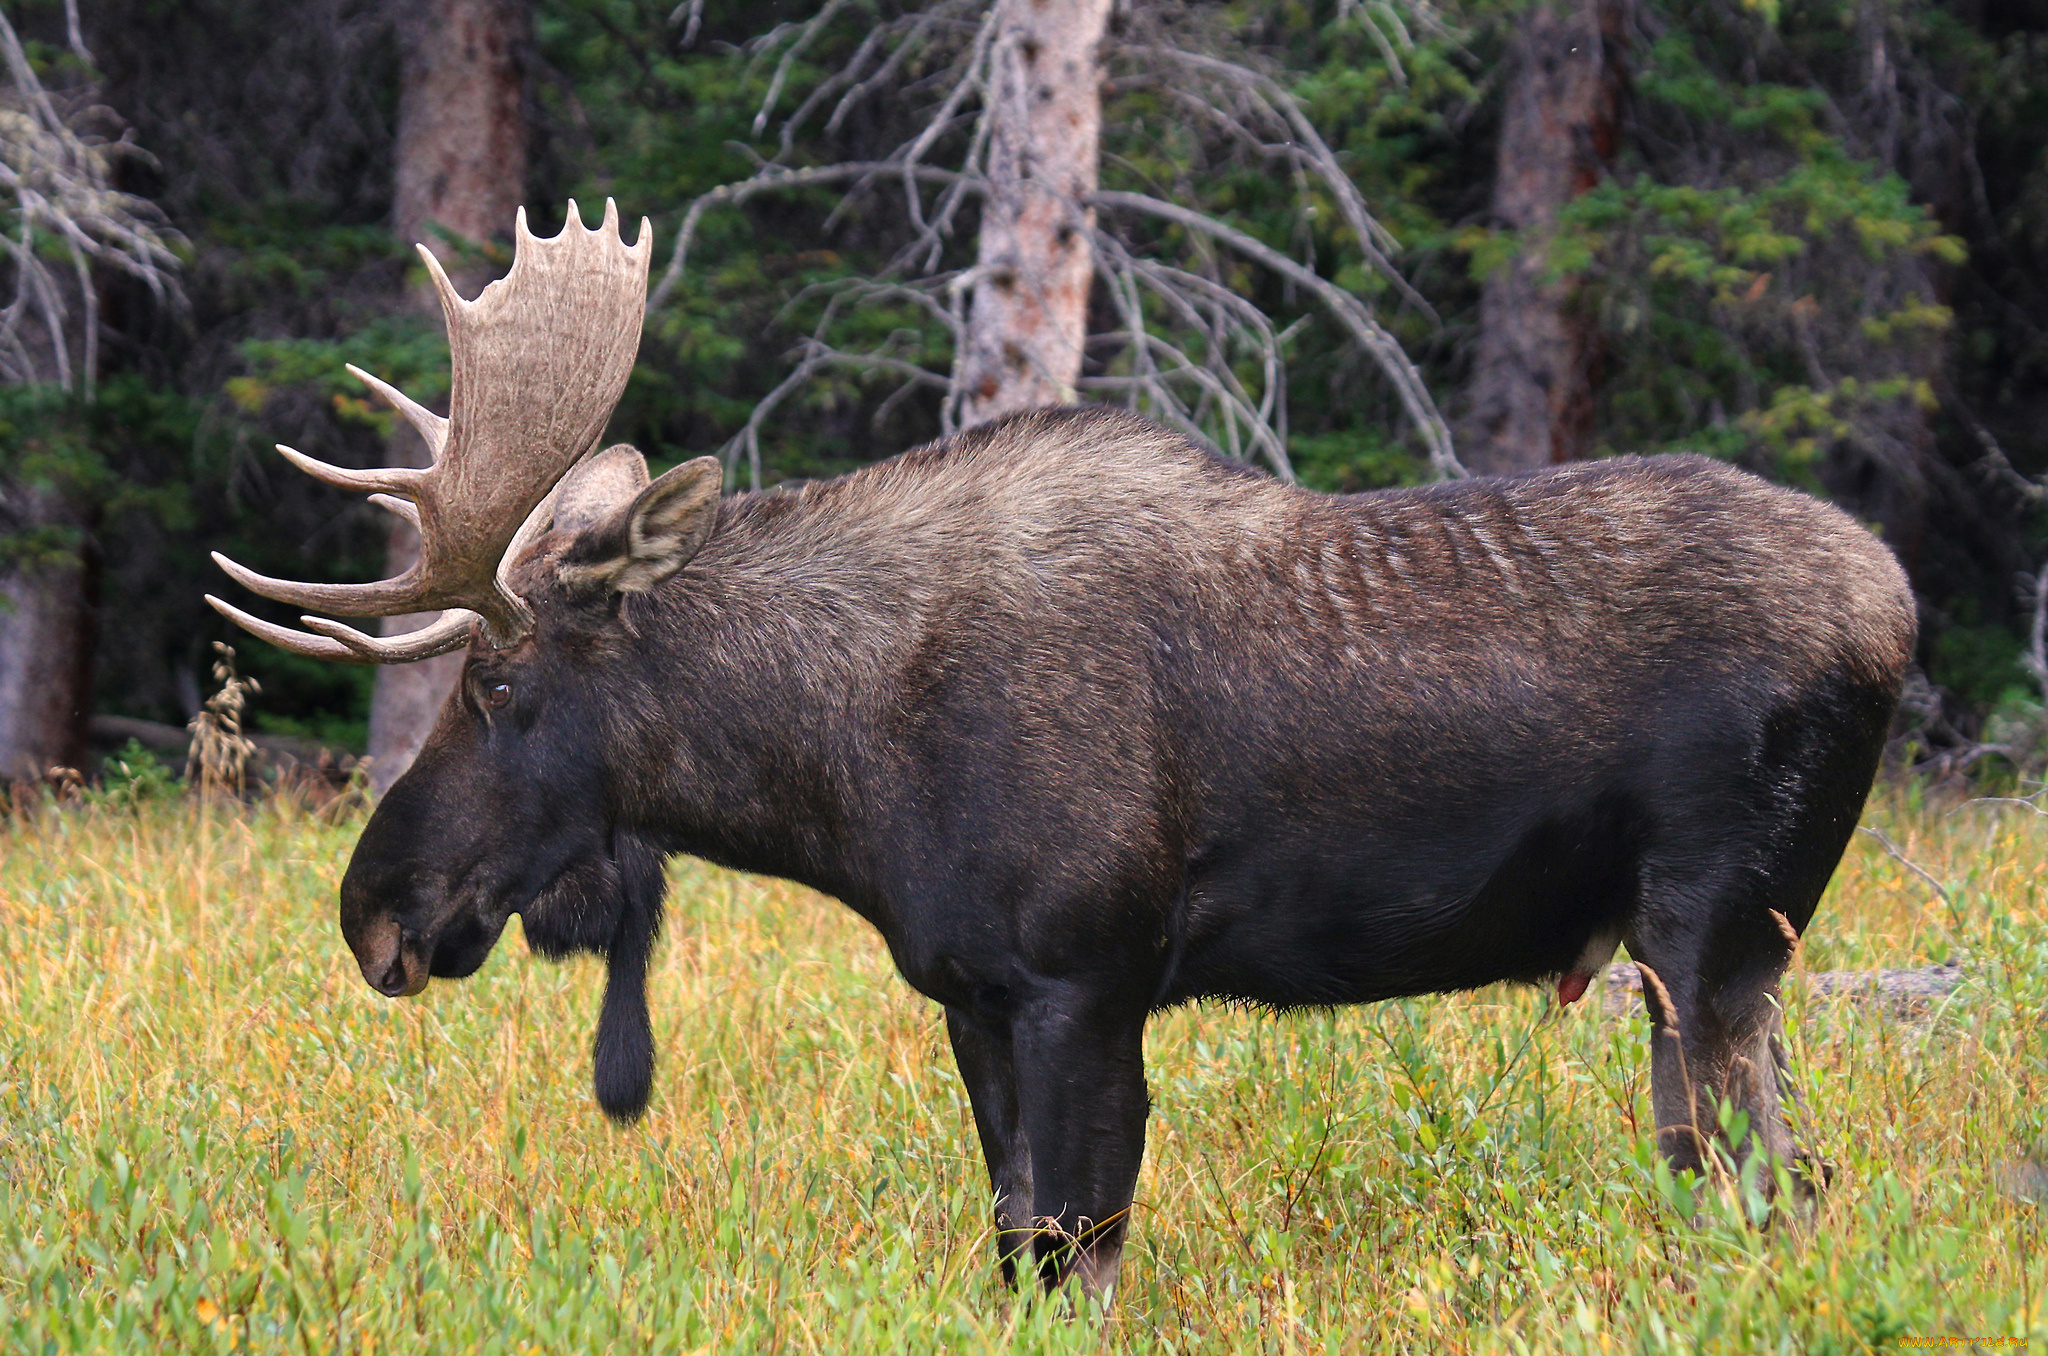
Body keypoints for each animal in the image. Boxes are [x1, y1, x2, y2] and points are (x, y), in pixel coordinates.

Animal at [211, 199, 1916, 1294]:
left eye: (499, 683)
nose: (372, 908)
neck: (839, 780)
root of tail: (1899, 604)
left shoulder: (1085, 978)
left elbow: (1077, 1252)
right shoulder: (974, 994)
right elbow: (1016, 1248)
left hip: (1710, 933)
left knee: (1760, 1184)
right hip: (1719, 955)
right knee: (1790, 1182)